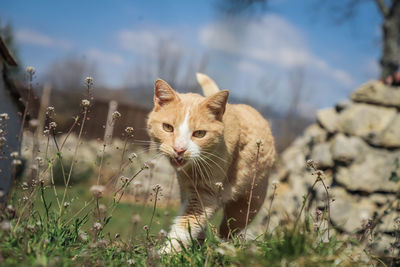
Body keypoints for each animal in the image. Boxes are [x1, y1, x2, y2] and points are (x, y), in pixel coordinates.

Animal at [147, 74, 276, 253]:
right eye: (167, 127)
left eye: (199, 134)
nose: (179, 149)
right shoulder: (188, 192)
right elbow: (192, 223)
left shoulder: (205, 195)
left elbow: (183, 228)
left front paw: (165, 253)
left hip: (247, 204)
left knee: (229, 229)